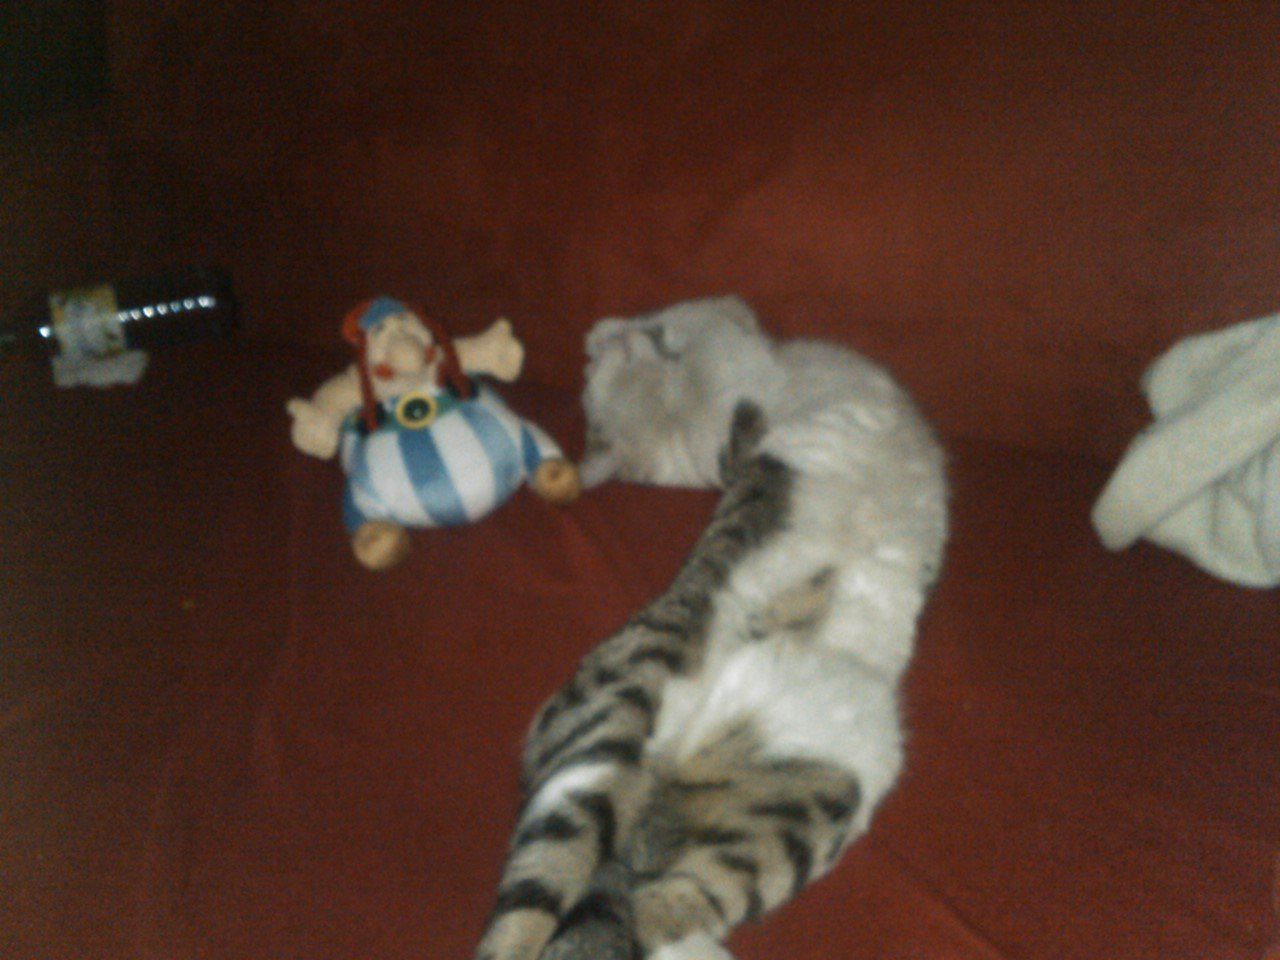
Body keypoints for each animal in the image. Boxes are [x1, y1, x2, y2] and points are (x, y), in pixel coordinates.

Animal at [473, 296, 948, 960]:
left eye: (589, 400)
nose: (591, 354)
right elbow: (719, 335)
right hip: (602, 748)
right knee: (543, 913)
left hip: (789, 811)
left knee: (656, 910)